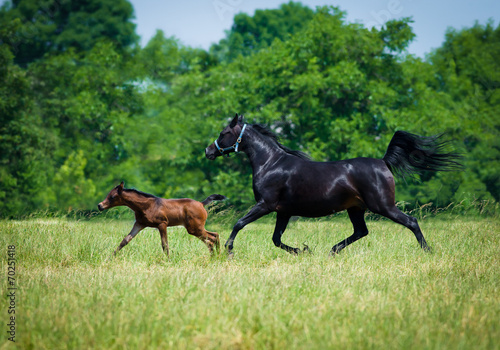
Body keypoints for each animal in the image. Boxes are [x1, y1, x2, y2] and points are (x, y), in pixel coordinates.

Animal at [97, 183, 225, 258]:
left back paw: (217, 256)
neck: (146, 206)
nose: (100, 206)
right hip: (195, 228)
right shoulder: (139, 224)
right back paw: (215, 257)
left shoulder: (162, 224)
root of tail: (201, 204)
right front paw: (110, 257)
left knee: (213, 237)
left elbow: (164, 244)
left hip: (194, 228)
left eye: (112, 197)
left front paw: (168, 260)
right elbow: (125, 240)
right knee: (212, 238)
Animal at [205, 114, 462, 254]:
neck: (271, 163)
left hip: (383, 206)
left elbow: (239, 224)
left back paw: (428, 251)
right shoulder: (283, 211)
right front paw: (304, 251)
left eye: (224, 132)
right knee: (361, 231)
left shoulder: (265, 205)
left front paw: (227, 249)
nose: (208, 151)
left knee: (411, 221)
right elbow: (276, 240)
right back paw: (332, 251)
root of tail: (383, 162)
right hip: (356, 208)